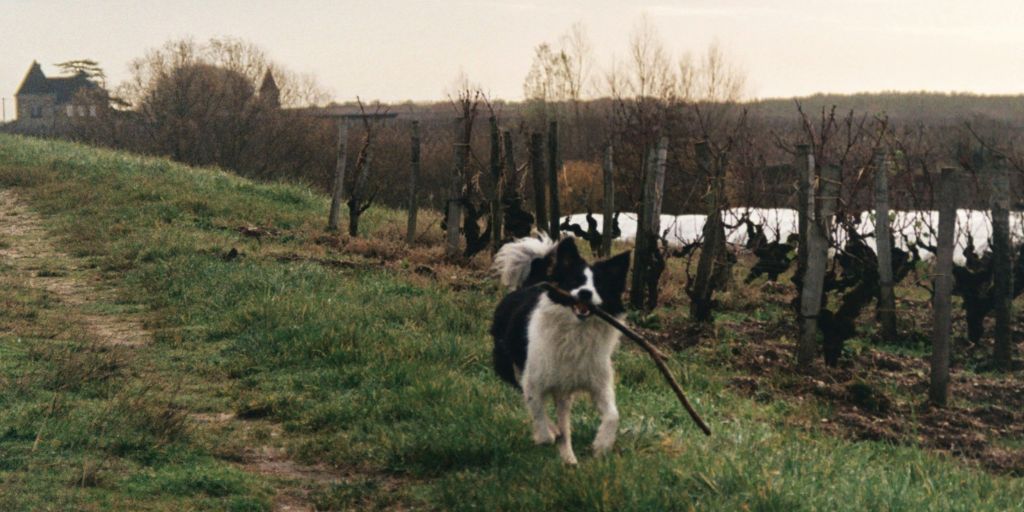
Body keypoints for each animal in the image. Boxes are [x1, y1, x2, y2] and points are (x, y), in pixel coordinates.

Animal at [489, 235, 630, 464]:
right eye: (574, 281)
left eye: (599, 286)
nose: (585, 293)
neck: (576, 331)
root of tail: (530, 284)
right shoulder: (534, 381)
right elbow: (538, 413)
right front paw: (546, 434)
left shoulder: (598, 382)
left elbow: (613, 415)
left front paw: (601, 445)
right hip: (508, 365)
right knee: (525, 394)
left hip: (564, 392)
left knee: (564, 419)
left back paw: (569, 458)